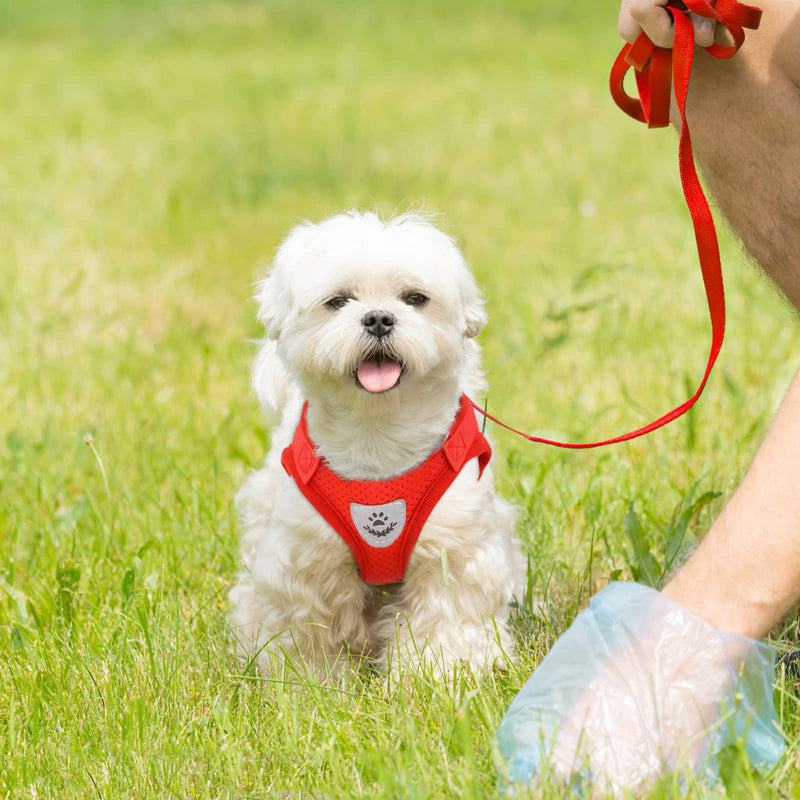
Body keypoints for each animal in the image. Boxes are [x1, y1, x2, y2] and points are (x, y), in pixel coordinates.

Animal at [228, 211, 520, 680]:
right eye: (338, 301)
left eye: (414, 298)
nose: (379, 318)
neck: (377, 436)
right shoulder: (307, 559)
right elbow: (310, 630)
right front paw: (311, 682)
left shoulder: (453, 547)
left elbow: (444, 619)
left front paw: (437, 676)